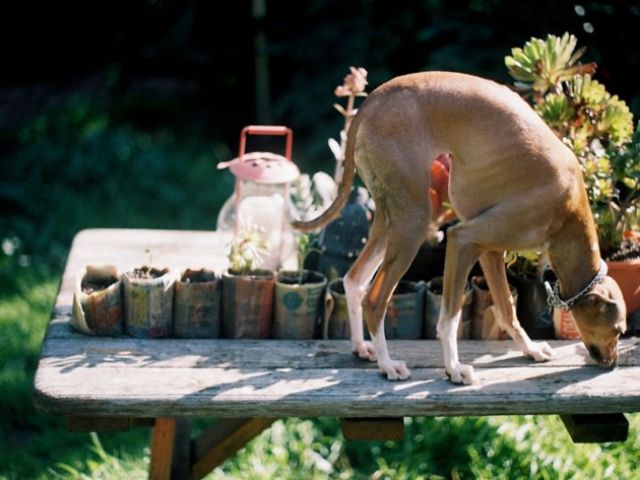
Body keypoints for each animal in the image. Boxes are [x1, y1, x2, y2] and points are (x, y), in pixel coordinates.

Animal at [294, 71, 624, 384]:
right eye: (619, 329)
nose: (612, 364)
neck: (569, 208)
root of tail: (373, 100)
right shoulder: (463, 239)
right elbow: (449, 319)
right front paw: (454, 370)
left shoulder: (490, 251)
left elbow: (507, 308)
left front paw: (530, 349)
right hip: (414, 222)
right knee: (374, 301)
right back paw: (388, 366)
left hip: (391, 221)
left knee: (354, 280)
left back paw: (362, 348)